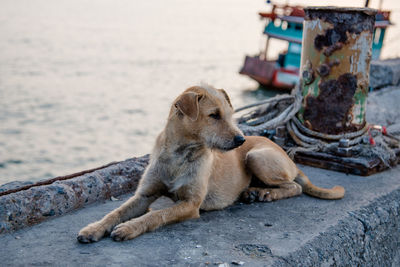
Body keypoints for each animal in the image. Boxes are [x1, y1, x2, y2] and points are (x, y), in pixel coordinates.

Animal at [77, 85, 344, 243]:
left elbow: (158, 214)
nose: (240, 140)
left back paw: (265, 193)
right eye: (214, 115)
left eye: (230, 114)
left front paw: (130, 227)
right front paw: (93, 228)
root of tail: (289, 159)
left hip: (256, 157)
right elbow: (115, 212)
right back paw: (253, 192)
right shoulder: (144, 195)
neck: (180, 154)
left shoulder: (190, 204)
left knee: (294, 187)